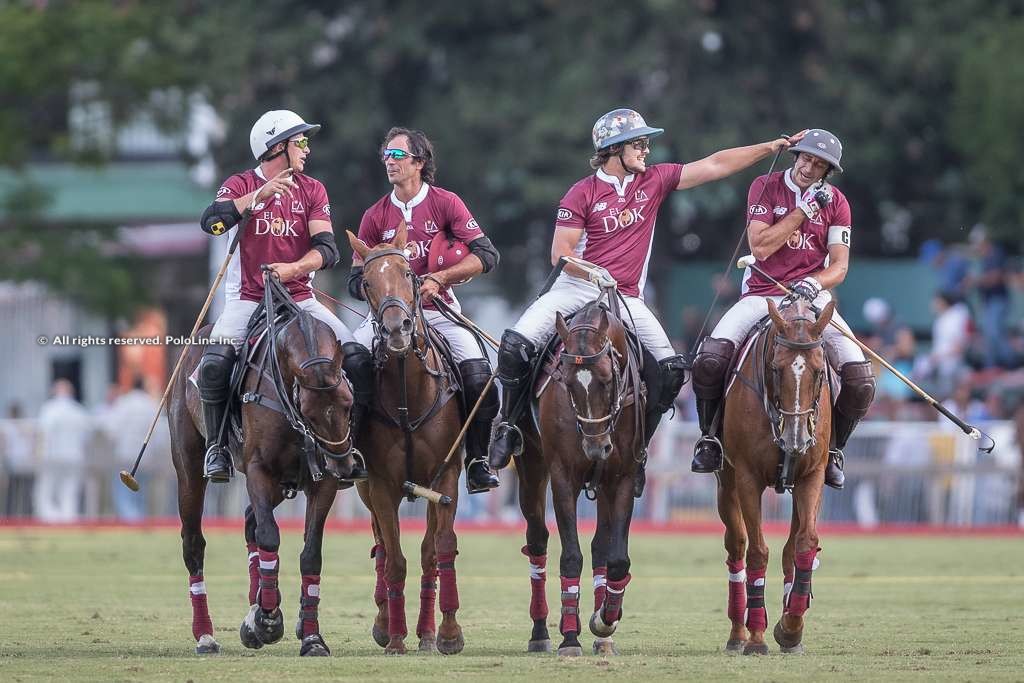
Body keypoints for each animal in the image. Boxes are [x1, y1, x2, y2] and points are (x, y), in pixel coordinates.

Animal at [167, 276, 356, 655]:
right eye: (309, 412)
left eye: (348, 403)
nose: (343, 466)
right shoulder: (259, 470)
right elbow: (270, 536)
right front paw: (268, 620)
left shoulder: (321, 482)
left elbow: (311, 553)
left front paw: (311, 637)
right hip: (189, 465)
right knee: (194, 542)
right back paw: (206, 635)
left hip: (285, 482)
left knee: (249, 522)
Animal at [348, 225, 468, 655]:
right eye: (366, 281)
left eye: (408, 274)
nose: (397, 329)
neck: (408, 395)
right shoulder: (382, 484)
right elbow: (396, 559)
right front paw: (396, 638)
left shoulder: (445, 477)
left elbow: (439, 549)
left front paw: (446, 634)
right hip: (365, 488)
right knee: (382, 547)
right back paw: (384, 623)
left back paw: (428, 632)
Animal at [516, 296, 643, 655]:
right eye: (568, 382)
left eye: (607, 380)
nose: (596, 447)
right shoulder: (563, 476)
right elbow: (571, 555)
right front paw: (570, 637)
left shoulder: (622, 477)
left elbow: (617, 559)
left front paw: (605, 619)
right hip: (531, 465)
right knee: (537, 540)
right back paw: (542, 632)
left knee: (601, 545)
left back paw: (604, 637)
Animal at [716, 299, 835, 655]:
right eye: (775, 368)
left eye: (819, 370)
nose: (795, 440)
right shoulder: (748, 478)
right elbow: (757, 551)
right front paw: (756, 637)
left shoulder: (813, 474)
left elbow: (806, 543)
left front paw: (791, 629)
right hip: (726, 481)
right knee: (737, 547)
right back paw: (738, 634)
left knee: (789, 549)